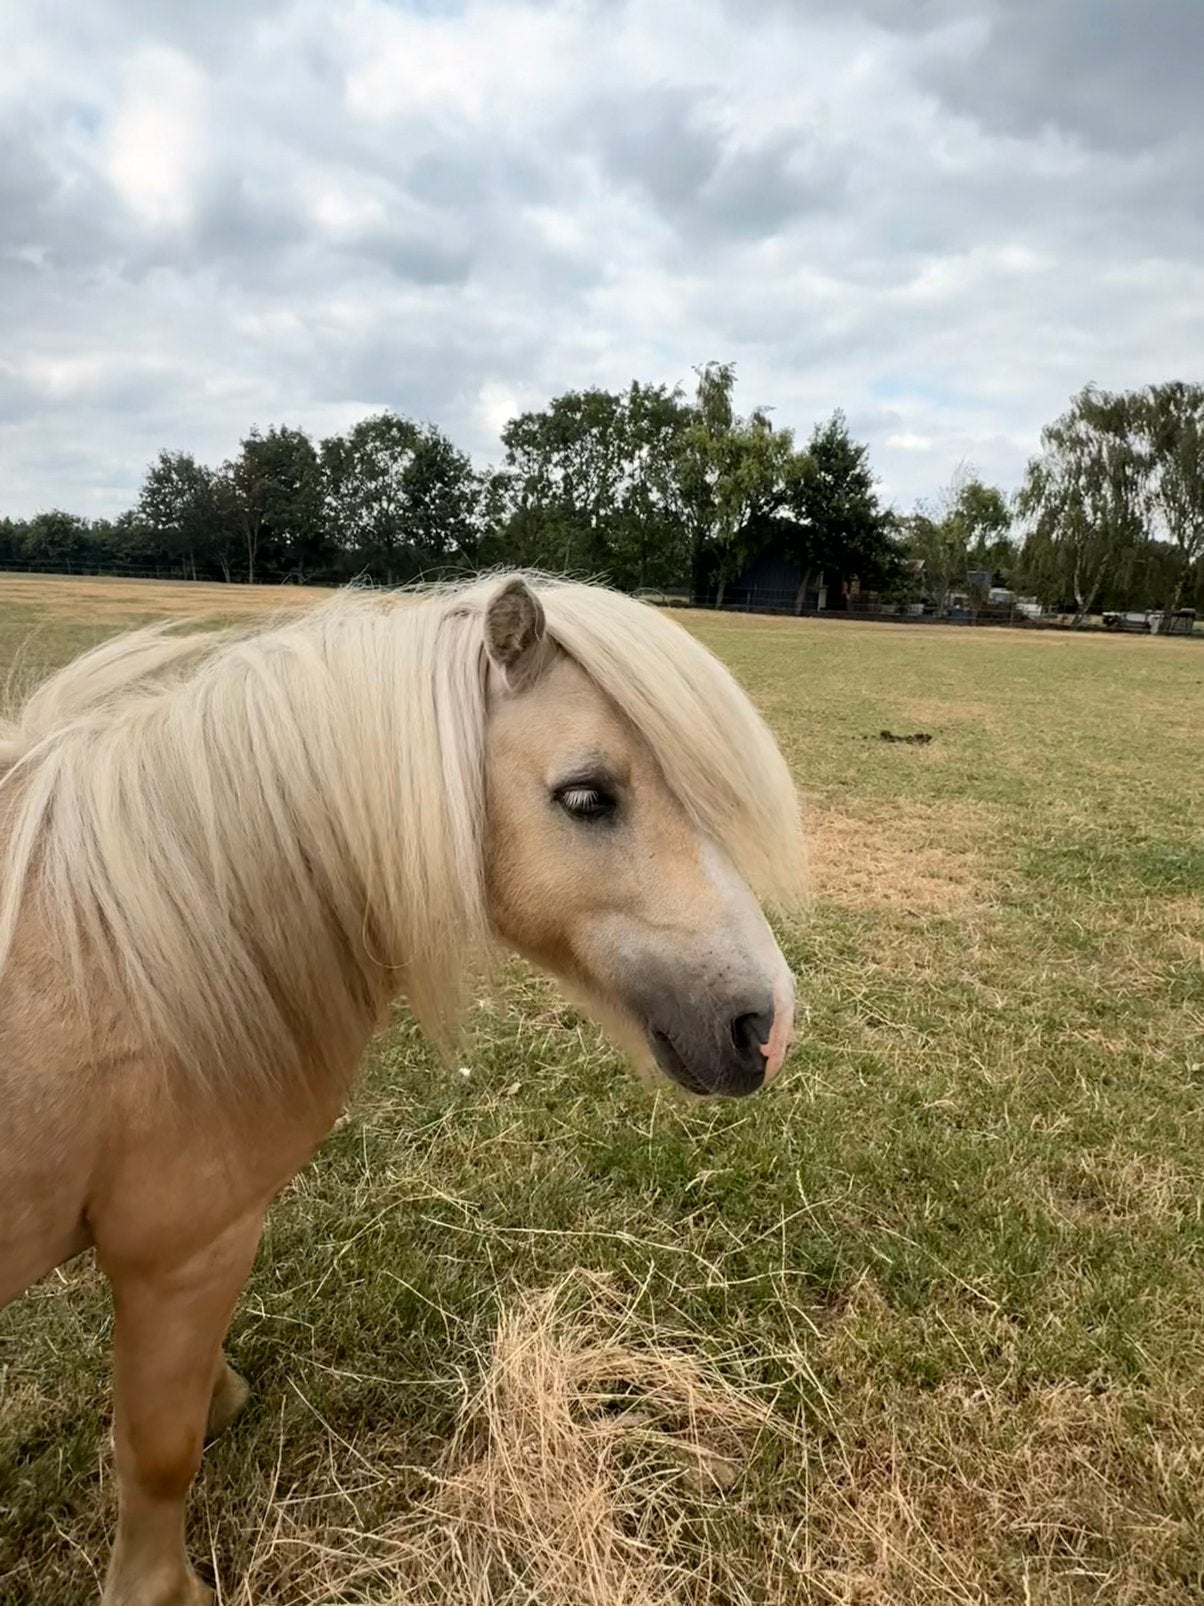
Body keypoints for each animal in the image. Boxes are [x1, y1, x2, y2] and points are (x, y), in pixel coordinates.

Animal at [0, 573, 803, 1605]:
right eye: (587, 796)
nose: (767, 1027)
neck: (125, 953)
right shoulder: (181, 1249)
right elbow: (159, 1448)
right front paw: (161, 1587)